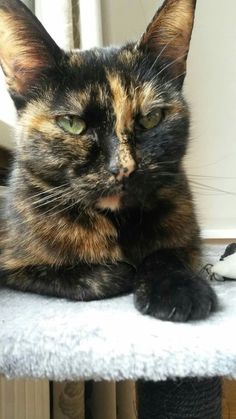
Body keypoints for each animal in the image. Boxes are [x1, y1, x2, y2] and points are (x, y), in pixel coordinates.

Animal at [0, 0, 218, 322]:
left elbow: (167, 252)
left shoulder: (187, 232)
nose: (123, 168)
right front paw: (119, 272)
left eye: (152, 118)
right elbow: (79, 275)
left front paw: (179, 288)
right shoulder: (12, 260)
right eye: (72, 123)